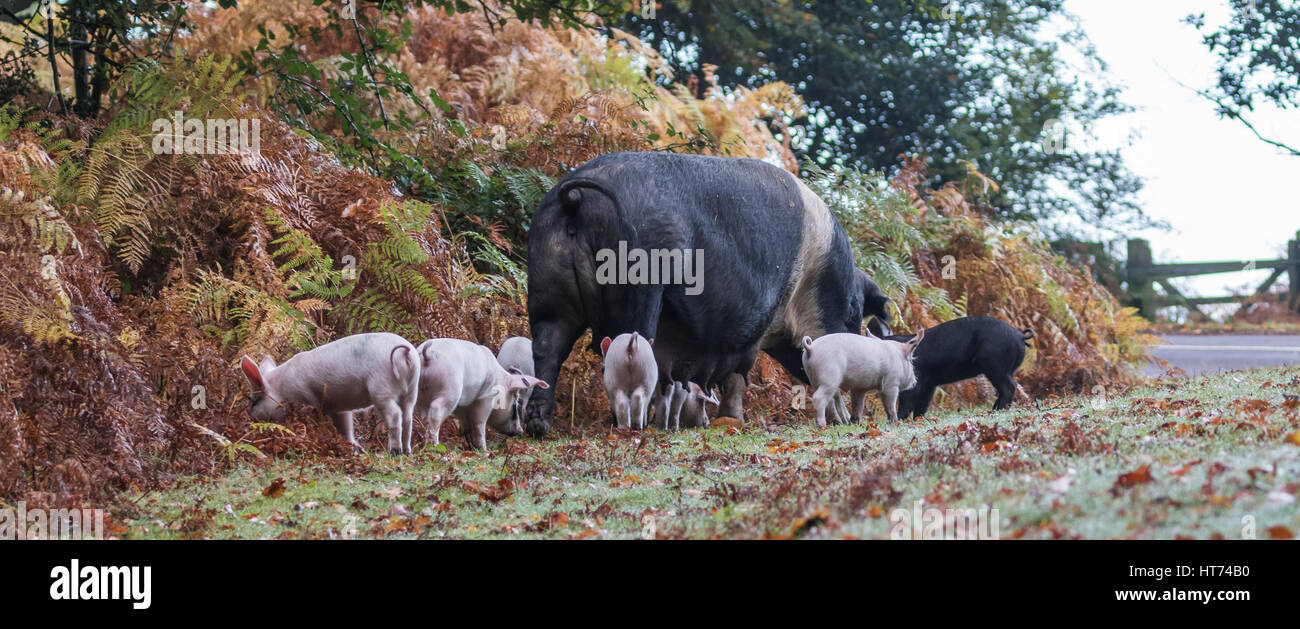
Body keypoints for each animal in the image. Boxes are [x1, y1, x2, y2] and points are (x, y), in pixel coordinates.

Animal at [522, 152, 889, 436]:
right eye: (854, 308)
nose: (855, 420)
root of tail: (574, 199)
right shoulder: (750, 329)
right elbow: (739, 375)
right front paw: (731, 420)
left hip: (546, 286)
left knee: (547, 348)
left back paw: (538, 426)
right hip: (638, 287)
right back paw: (636, 425)